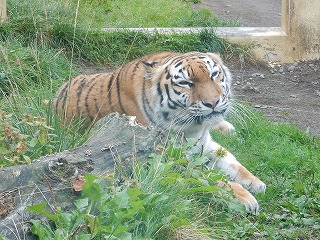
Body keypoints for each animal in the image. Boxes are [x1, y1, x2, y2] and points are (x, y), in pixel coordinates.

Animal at [53, 51, 266, 211]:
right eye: (186, 83)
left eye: (213, 75)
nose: (212, 103)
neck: (193, 129)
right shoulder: (165, 158)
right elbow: (207, 177)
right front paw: (244, 197)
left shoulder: (206, 144)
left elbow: (232, 162)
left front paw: (255, 182)